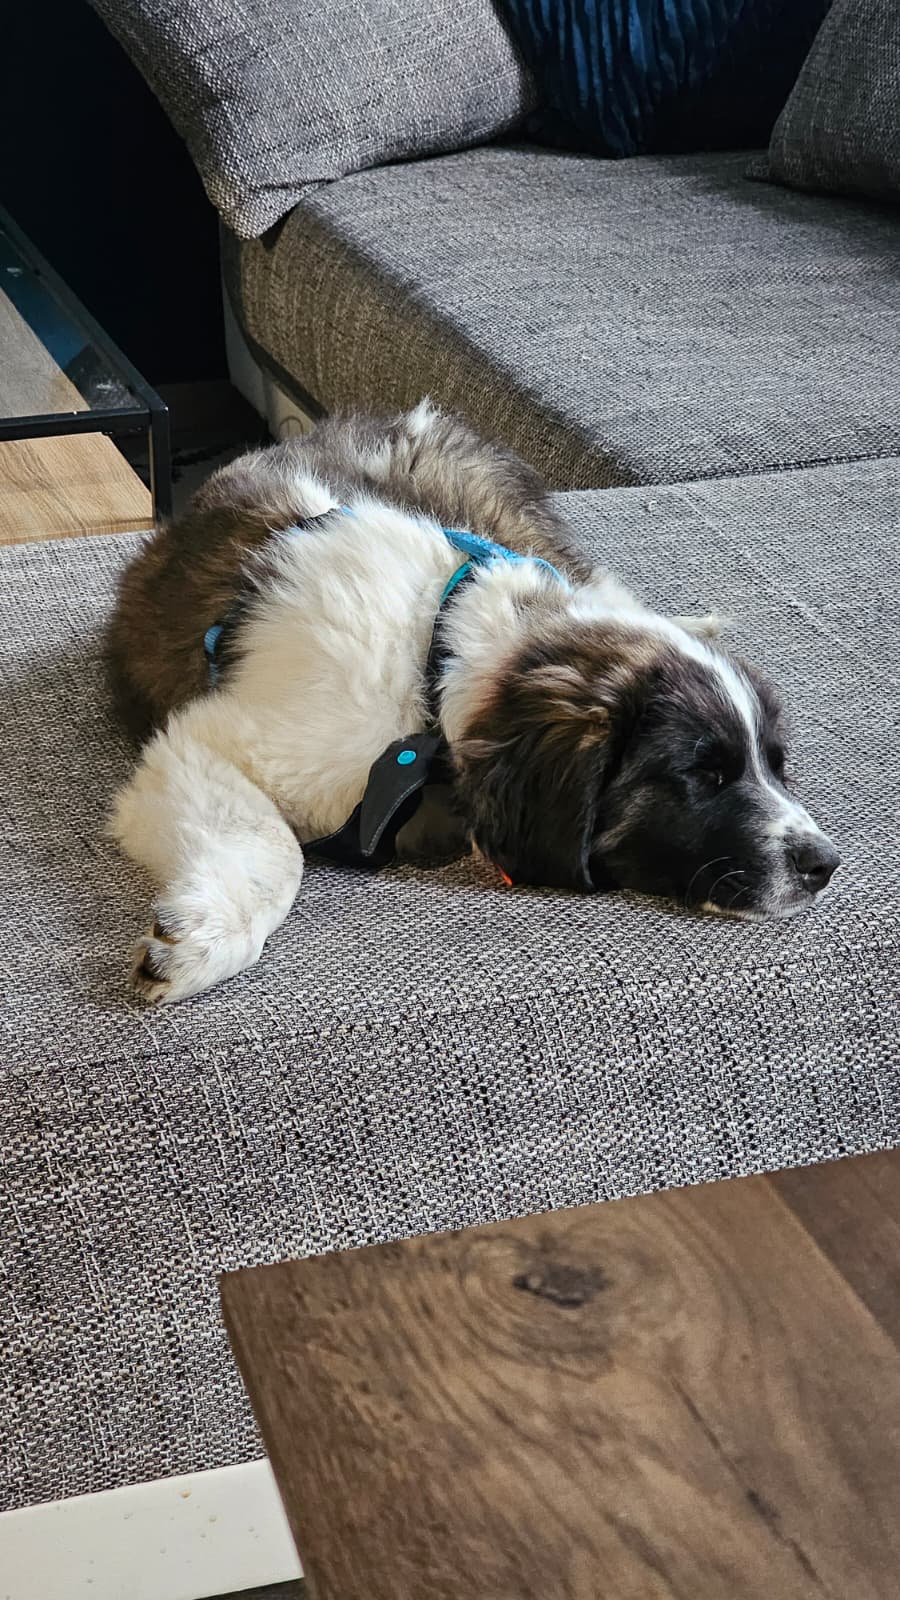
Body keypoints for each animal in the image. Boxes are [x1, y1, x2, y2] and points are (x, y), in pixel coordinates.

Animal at [107, 401, 839, 1004]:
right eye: (704, 776)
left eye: (777, 768)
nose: (825, 865)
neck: (432, 665)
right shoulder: (211, 742)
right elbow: (277, 847)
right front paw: (203, 942)